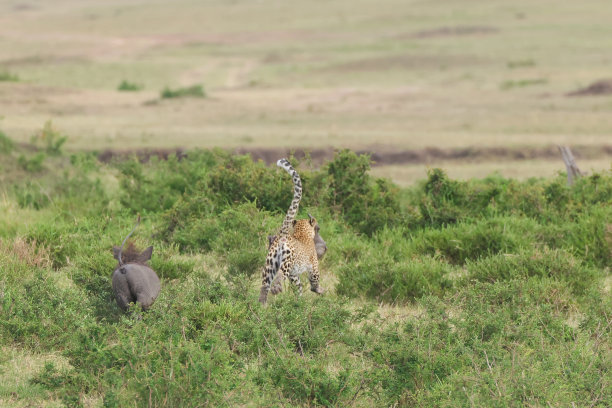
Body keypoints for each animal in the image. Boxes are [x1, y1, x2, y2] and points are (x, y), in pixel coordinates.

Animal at [258, 158, 326, 304]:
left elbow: (298, 287)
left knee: (264, 287)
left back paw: (261, 305)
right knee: (279, 276)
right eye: (317, 228)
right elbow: (314, 283)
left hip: (269, 265)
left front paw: (299, 301)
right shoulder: (314, 267)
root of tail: (282, 235)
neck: (302, 232)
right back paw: (276, 289)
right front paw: (321, 290)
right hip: (285, 262)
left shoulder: (294, 274)